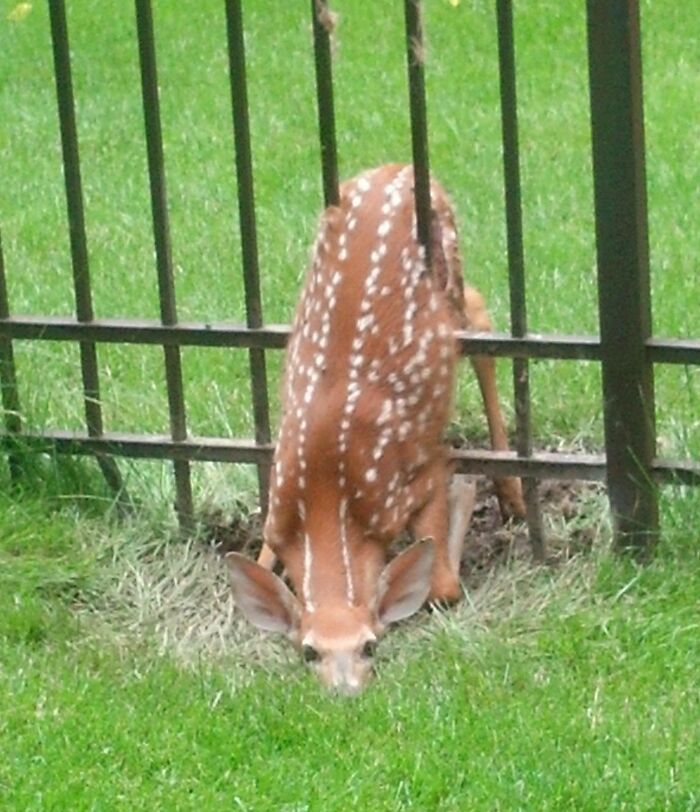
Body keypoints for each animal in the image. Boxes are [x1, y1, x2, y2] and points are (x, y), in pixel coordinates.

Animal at [225, 164, 525, 694]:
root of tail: (399, 168)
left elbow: (442, 585)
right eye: (309, 652)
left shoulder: (421, 473)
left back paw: (512, 492)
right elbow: (261, 568)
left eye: (371, 645)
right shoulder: (275, 508)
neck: (329, 498)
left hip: (450, 269)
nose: (345, 689)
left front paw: (467, 493)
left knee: (479, 320)